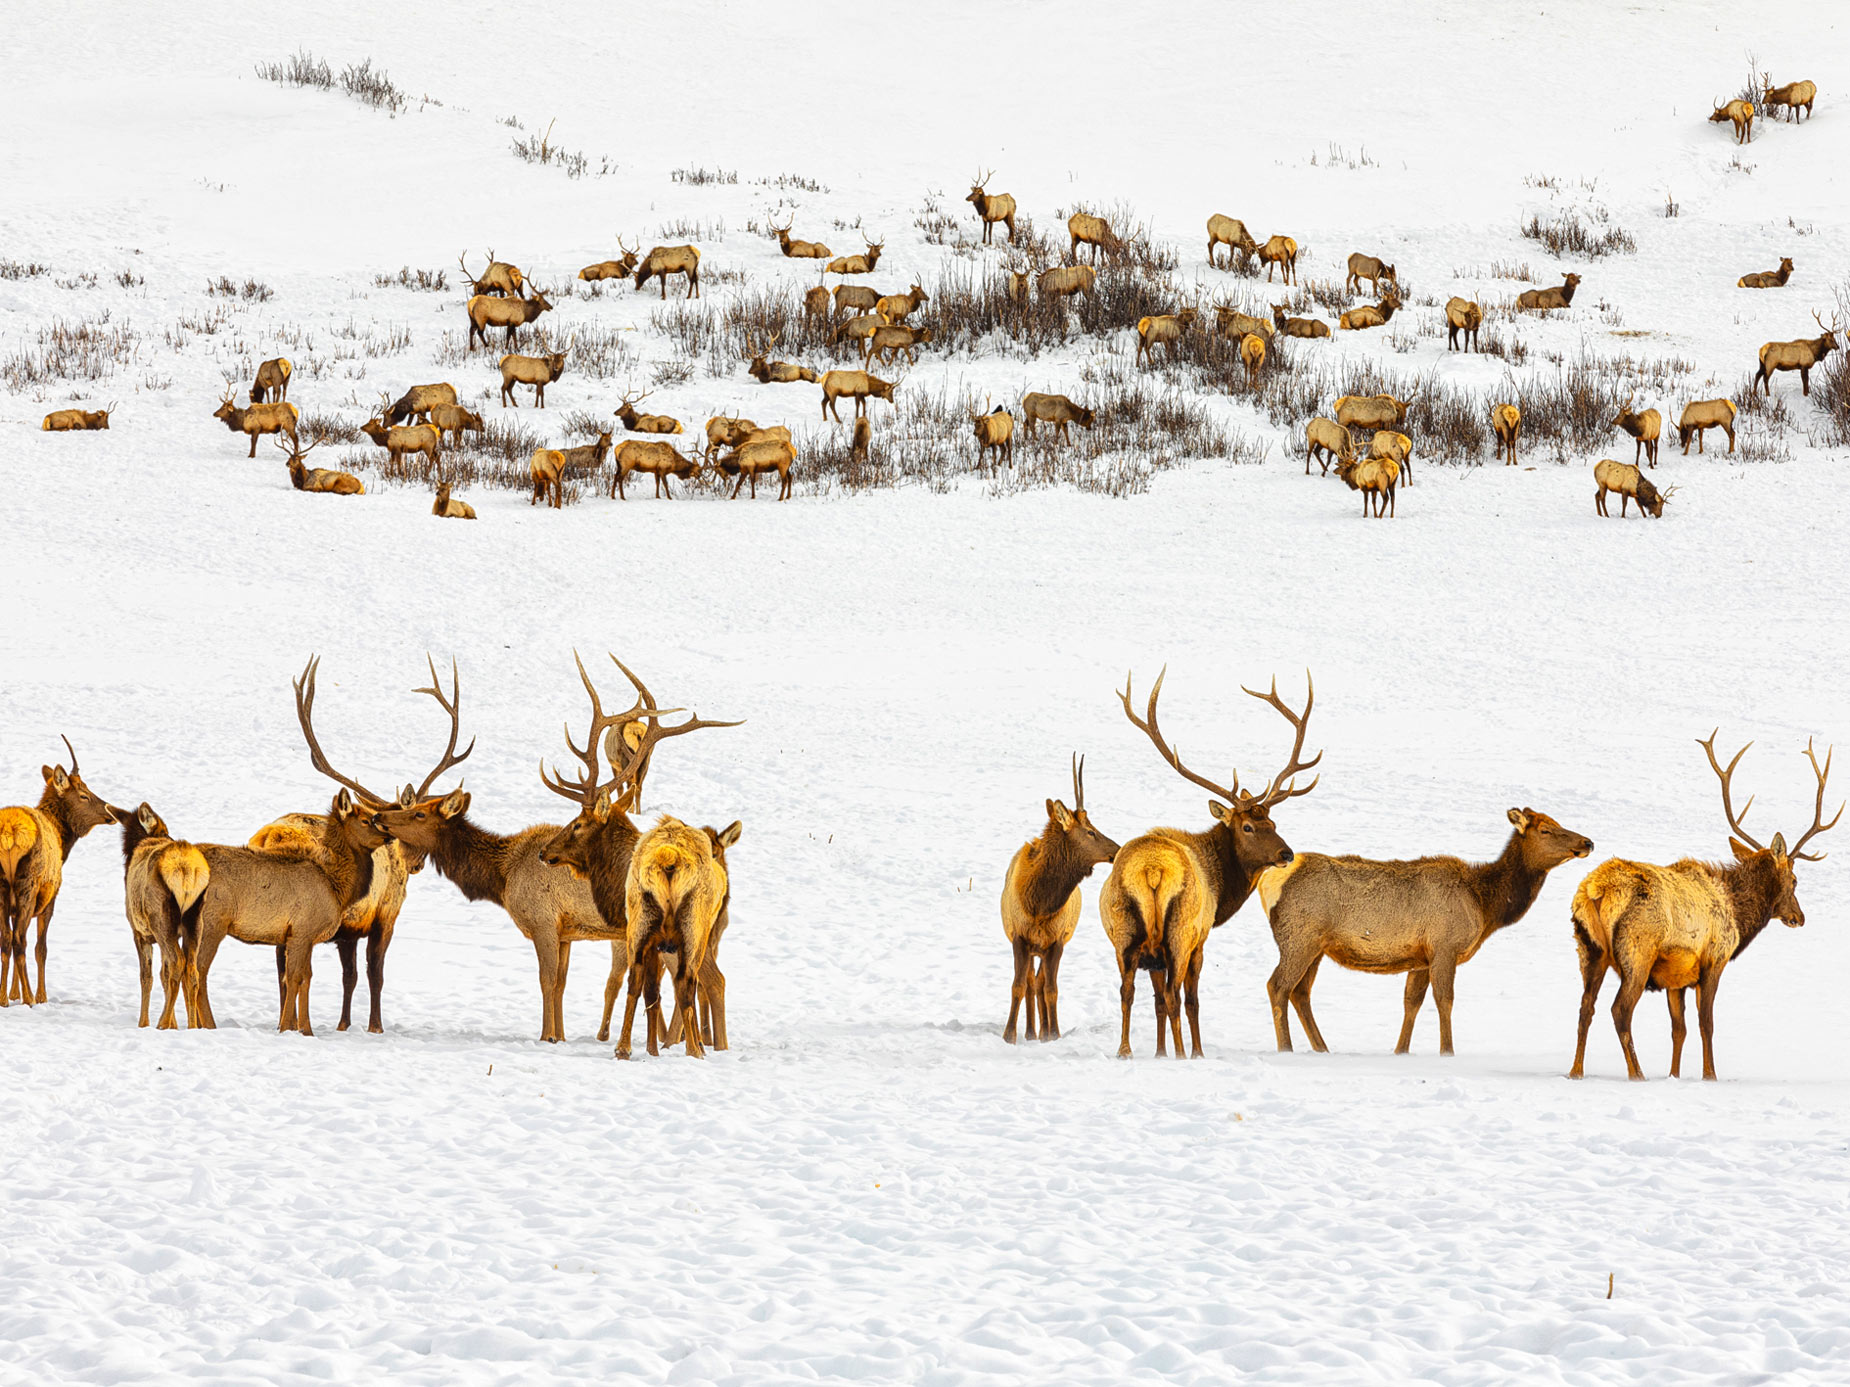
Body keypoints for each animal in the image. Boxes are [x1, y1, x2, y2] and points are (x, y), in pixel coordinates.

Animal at [0, 738, 116, 1007]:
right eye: (84, 794)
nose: (111, 812)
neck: (64, 846)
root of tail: (9, 833)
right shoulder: (50, 897)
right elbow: (41, 948)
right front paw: (40, 996)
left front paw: (12, 994)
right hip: (28, 884)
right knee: (20, 940)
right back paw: (30, 999)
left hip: (2, 887)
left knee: (6, 939)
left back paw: (4, 999)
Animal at [530, 653, 741, 1051]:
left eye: (577, 823)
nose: (545, 852)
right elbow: (654, 994)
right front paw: (654, 1047)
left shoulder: (635, 932)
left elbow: (644, 989)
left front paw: (640, 1046)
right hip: (704, 931)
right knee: (703, 982)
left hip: (675, 927)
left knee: (710, 981)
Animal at [1002, 755, 1120, 1044]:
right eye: (1090, 831)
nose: (1118, 849)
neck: (1040, 904)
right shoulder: (1019, 936)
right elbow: (1018, 985)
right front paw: (1009, 1034)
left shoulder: (1056, 940)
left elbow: (1051, 989)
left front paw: (1053, 1033)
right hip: (1032, 947)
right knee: (1031, 983)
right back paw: (1030, 1032)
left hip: (1048, 946)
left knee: (1040, 982)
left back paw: (1041, 1031)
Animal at [1100, 671, 1321, 1059]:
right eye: (1247, 827)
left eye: (1273, 822)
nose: (1286, 854)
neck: (1222, 887)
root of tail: (1152, 870)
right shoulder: (1200, 939)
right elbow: (1190, 1000)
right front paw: (1193, 1052)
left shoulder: (1151, 955)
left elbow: (1156, 1001)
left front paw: (1159, 1053)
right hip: (1180, 931)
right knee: (1175, 995)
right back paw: (1184, 1054)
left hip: (1124, 932)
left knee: (1128, 991)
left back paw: (1125, 1050)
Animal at [1570, 733, 1838, 1081]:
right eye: (1794, 880)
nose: (1799, 917)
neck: (1738, 914)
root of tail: (1596, 890)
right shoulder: (1714, 959)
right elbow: (1706, 1024)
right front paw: (1710, 1075)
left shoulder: (1676, 977)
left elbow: (1678, 1029)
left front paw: (1673, 1075)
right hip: (1637, 950)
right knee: (1620, 1010)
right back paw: (1636, 1073)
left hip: (1589, 949)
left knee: (1585, 1007)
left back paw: (1576, 1071)